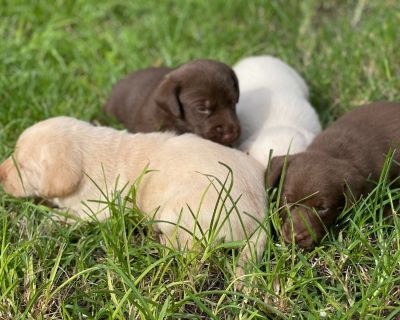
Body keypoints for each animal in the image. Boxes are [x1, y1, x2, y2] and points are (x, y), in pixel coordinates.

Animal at [1, 117, 268, 278]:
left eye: (23, 166)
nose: (0, 174)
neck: (88, 152)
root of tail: (260, 218)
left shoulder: (96, 208)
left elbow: (63, 217)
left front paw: (39, 223)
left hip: (180, 211)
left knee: (189, 250)